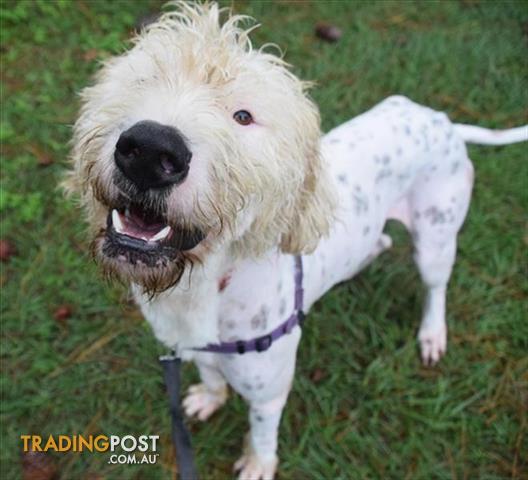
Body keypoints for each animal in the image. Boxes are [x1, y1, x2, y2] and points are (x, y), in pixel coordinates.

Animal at [67, 1, 528, 478]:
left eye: (244, 116)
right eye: (143, 80)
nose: (149, 150)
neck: (203, 288)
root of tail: (441, 119)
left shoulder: (268, 393)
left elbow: (261, 433)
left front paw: (258, 464)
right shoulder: (196, 352)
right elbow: (212, 379)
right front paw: (209, 399)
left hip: (435, 240)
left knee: (436, 288)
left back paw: (432, 334)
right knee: (380, 242)